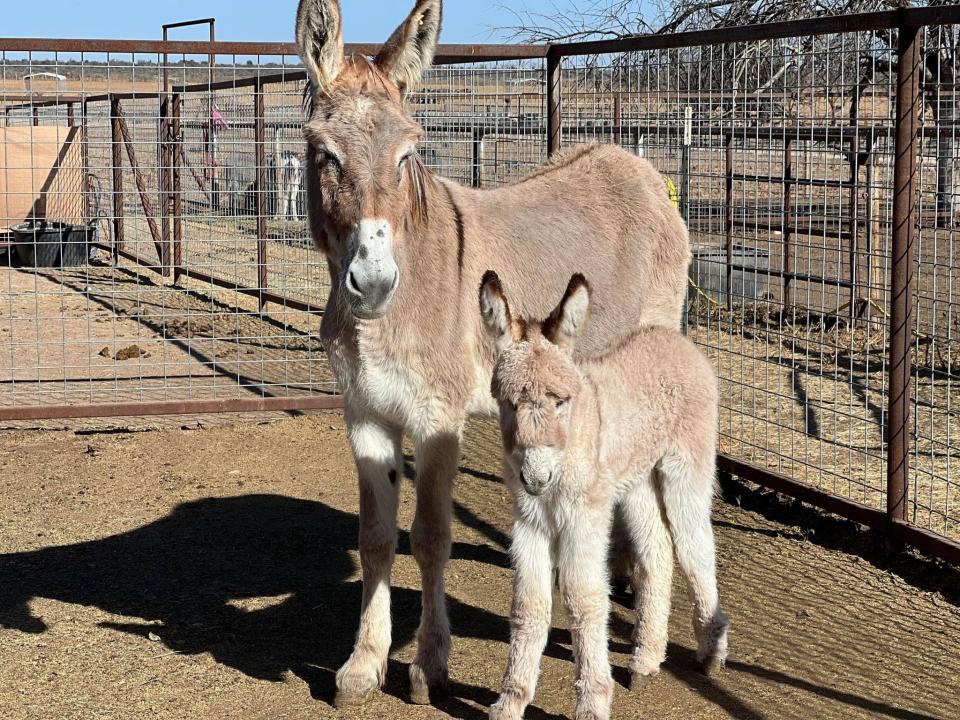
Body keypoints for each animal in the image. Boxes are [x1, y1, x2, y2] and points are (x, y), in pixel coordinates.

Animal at [480, 272, 728, 720]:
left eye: (561, 401)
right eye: (508, 403)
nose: (536, 477)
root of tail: (673, 338)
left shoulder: (583, 517)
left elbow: (583, 599)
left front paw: (592, 702)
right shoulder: (529, 520)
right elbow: (528, 604)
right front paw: (511, 700)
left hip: (685, 468)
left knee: (696, 547)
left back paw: (711, 652)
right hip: (636, 481)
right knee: (658, 551)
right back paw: (645, 660)